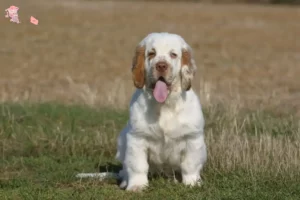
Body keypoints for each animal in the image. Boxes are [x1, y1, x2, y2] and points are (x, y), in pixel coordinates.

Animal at [75, 32, 206, 191]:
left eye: (173, 54)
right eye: (151, 53)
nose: (161, 65)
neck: (164, 105)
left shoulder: (193, 138)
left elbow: (190, 165)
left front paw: (192, 183)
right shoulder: (137, 138)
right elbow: (138, 165)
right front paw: (137, 186)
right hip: (122, 140)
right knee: (125, 170)